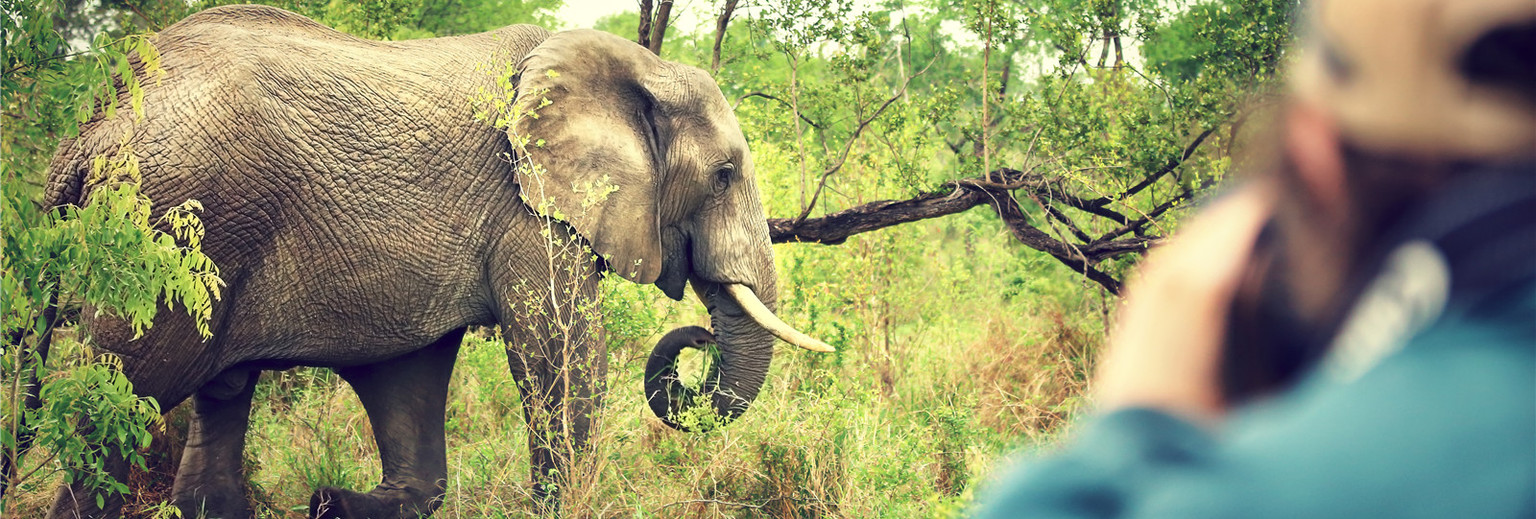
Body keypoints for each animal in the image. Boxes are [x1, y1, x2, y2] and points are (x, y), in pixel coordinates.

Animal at [36, 5, 829, 519]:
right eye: (724, 175)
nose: (697, 337)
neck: (638, 70)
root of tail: (93, 123)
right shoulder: (525, 206)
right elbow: (558, 353)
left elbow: (410, 379)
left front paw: (340, 502)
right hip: (168, 229)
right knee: (115, 414)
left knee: (220, 401)